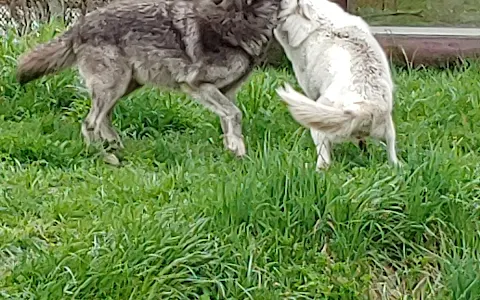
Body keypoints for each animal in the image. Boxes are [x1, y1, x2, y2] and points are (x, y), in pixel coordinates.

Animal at [15, 0, 280, 164]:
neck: (240, 17)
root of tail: (78, 25)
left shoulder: (227, 91)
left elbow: (229, 122)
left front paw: (234, 153)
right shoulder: (196, 85)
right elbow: (235, 114)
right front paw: (239, 152)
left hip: (126, 86)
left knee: (104, 120)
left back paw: (117, 147)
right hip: (114, 86)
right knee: (89, 123)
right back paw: (105, 157)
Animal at [274, 0, 402, 170]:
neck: (320, 21)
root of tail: (368, 109)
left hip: (320, 127)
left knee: (324, 161)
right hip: (389, 134)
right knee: (392, 157)